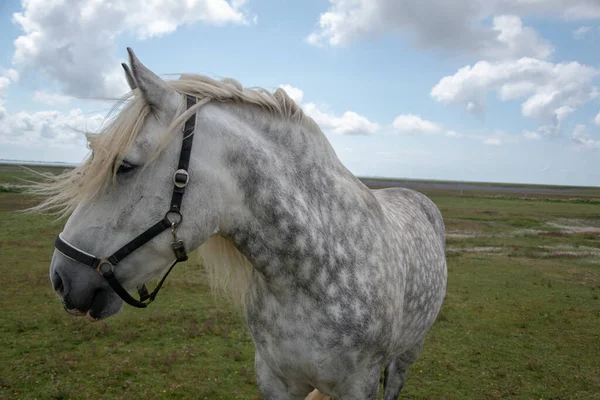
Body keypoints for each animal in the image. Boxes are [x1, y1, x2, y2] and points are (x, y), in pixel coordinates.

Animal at [37, 48, 448, 398]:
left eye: (124, 166)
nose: (60, 279)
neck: (316, 270)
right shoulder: (275, 381)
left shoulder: (359, 386)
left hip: (407, 354)